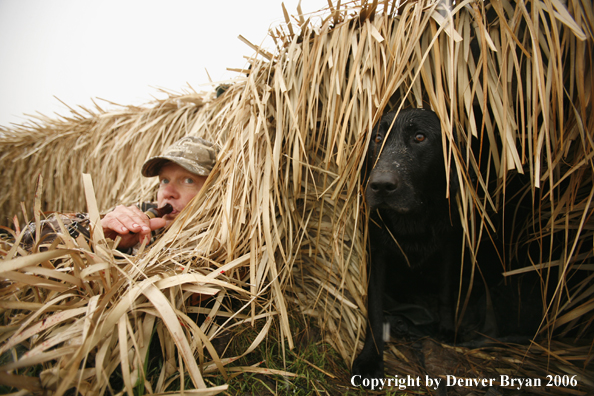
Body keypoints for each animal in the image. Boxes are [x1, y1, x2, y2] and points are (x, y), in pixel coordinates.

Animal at [350, 107, 460, 380]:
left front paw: (447, 328)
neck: (413, 221)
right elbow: (375, 308)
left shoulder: (449, 246)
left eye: (420, 137)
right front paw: (371, 357)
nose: (380, 185)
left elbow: (446, 291)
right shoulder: (377, 256)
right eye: (378, 138)